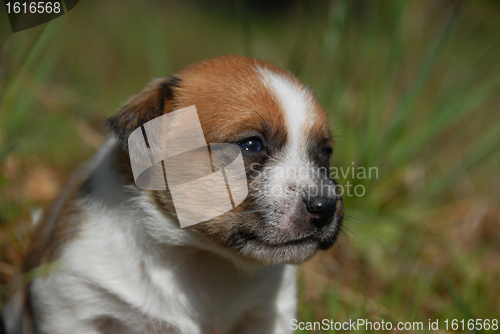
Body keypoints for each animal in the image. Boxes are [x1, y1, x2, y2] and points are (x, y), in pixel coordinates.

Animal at [0, 55, 344, 334]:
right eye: (251, 145)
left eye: (324, 153)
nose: (325, 207)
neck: (199, 257)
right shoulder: (73, 301)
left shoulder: (267, 313)